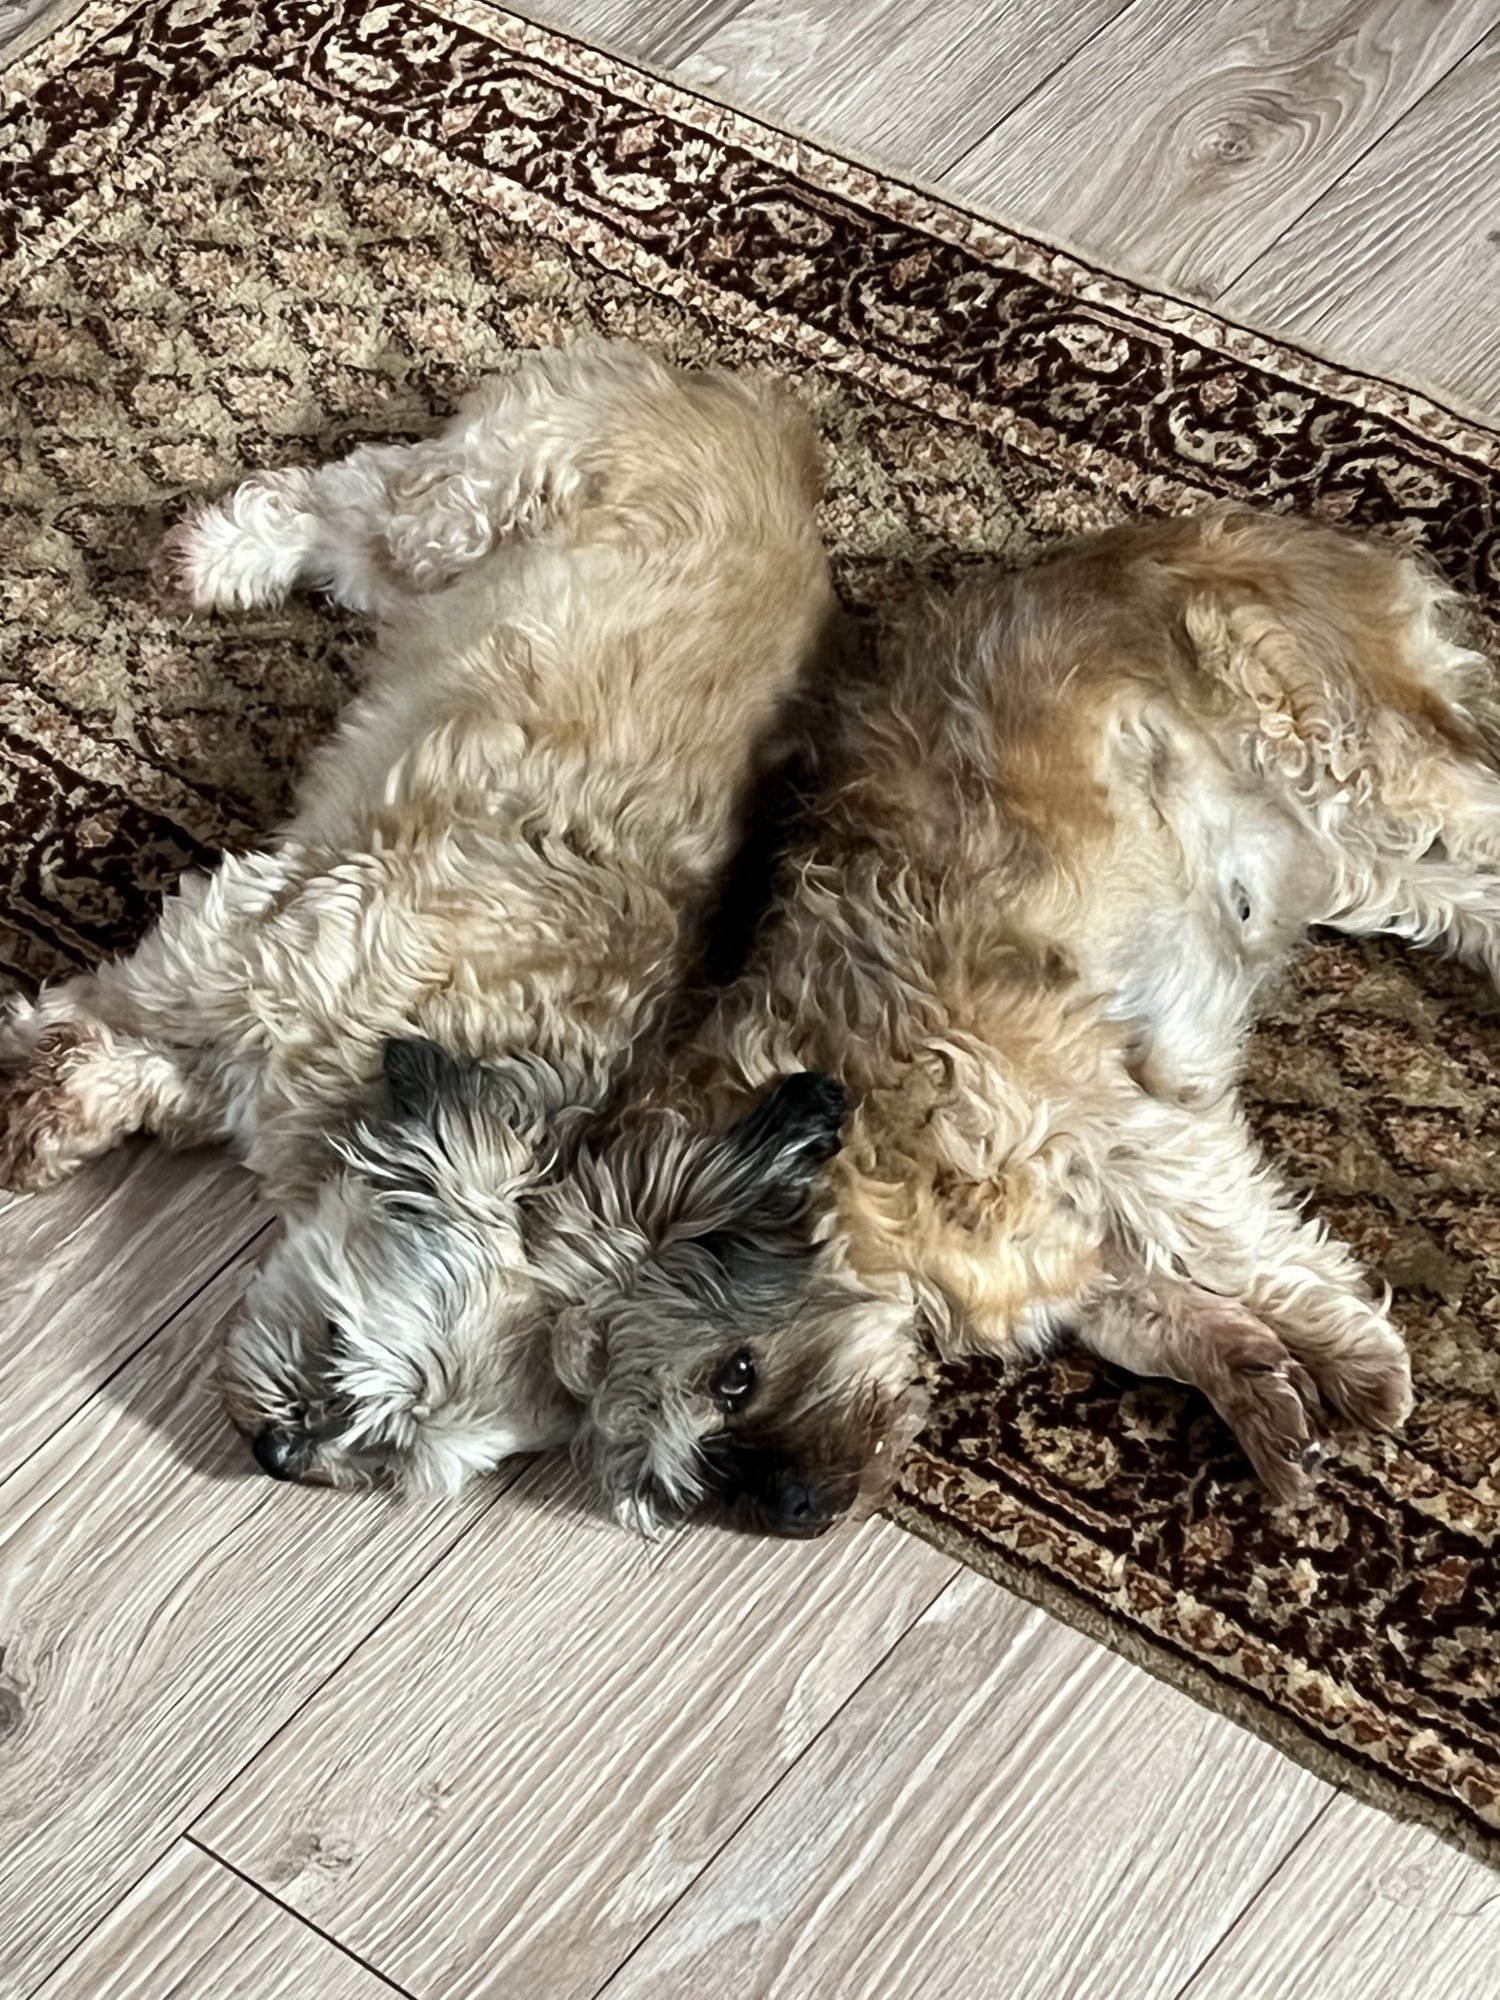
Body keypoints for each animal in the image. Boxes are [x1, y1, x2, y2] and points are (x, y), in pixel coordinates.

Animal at [0, 342, 838, 1497]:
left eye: (389, 1458)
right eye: (341, 1357)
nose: (279, 1452)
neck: (469, 1057)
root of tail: (769, 418)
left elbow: (151, 1076)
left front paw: (73, 1095)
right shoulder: (259, 933)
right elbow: (129, 998)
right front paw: (35, 1076)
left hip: (439, 566)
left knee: (353, 537)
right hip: (471, 504)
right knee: (343, 497)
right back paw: (223, 555)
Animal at [530, 508, 1500, 1535]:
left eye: (734, 1377)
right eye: (687, 1484)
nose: (791, 1508)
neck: (869, 1144)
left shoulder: (1116, 1123)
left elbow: (1226, 1241)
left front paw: (1348, 1353)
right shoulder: (1074, 1253)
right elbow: (1155, 1320)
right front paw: (1258, 1390)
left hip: (1347, 756)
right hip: (1357, 864)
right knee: (1467, 899)